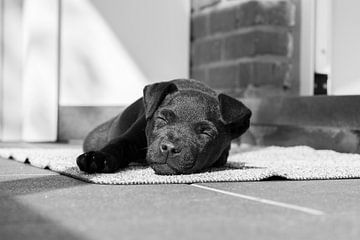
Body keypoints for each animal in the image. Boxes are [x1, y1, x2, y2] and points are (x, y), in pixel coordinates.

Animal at [76, 79, 250, 174]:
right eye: (162, 118)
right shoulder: (133, 135)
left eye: (206, 133)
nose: (170, 148)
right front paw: (97, 158)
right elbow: (118, 144)